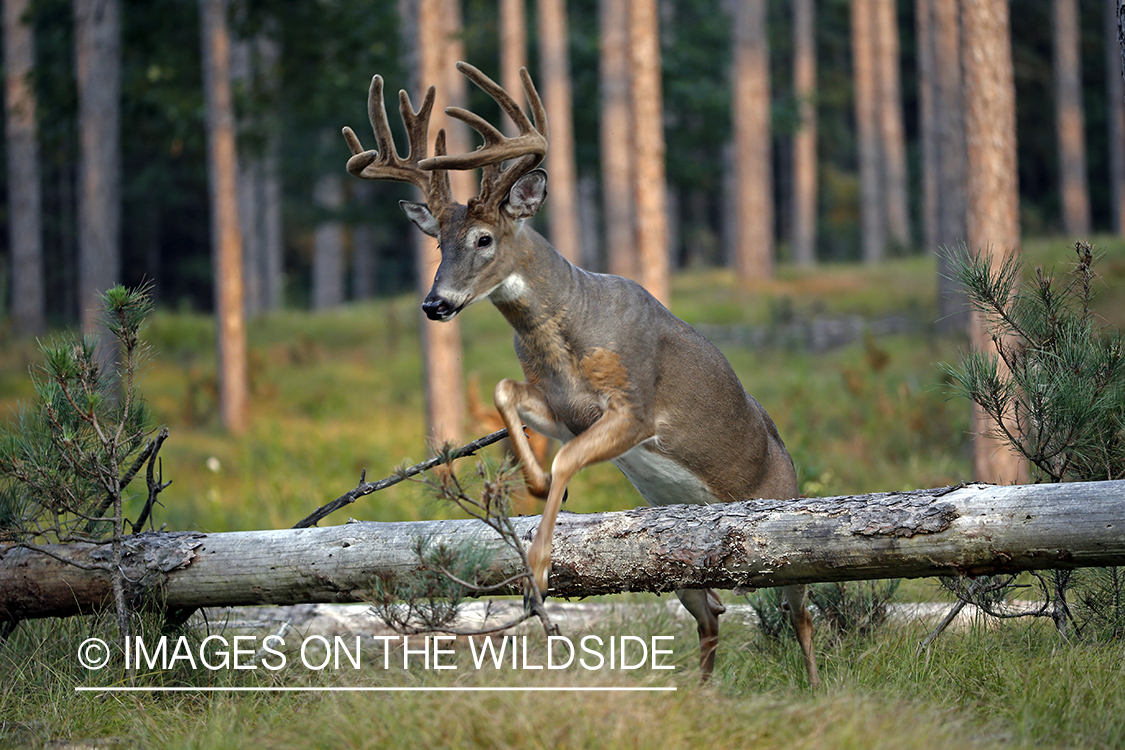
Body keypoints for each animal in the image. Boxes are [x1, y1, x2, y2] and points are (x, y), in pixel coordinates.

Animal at [339, 64, 819, 688]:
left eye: (484, 238)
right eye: (437, 242)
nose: (435, 304)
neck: (569, 333)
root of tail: (788, 465)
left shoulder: (636, 409)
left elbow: (568, 458)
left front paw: (538, 575)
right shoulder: (565, 408)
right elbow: (506, 394)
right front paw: (538, 483)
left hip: (787, 531)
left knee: (802, 612)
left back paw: (816, 688)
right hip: (680, 560)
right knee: (711, 611)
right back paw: (701, 693)